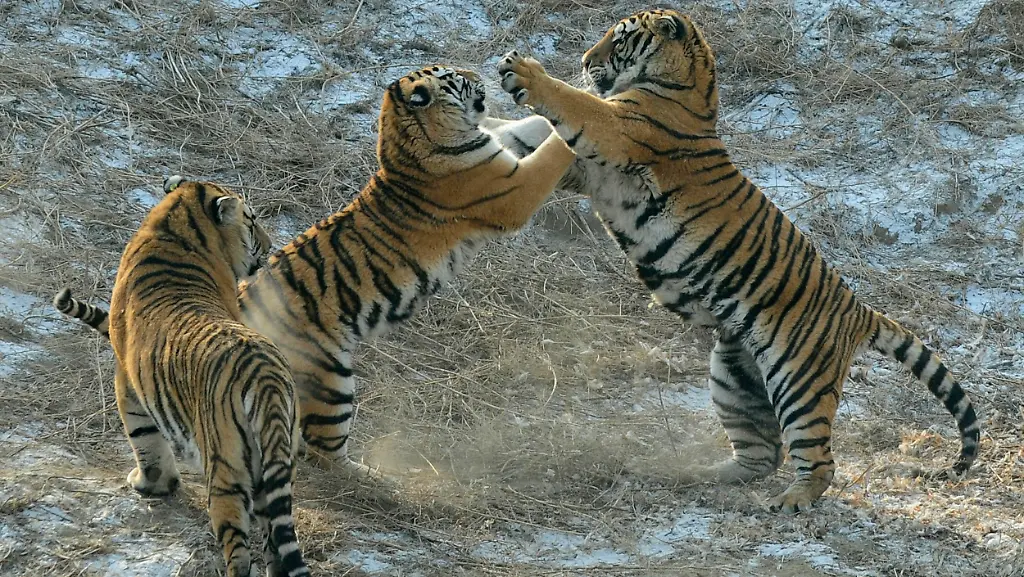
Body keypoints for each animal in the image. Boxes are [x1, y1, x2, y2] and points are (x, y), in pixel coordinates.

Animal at [55, 176, 310, 577]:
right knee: (276, 543)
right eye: (252, 222)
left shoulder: (127, 382)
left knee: (238, 548)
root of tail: (266, 378)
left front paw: (151, 484)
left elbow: (144, 440)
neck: (177, 225)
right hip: (277, 465)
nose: (271, 248)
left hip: (226, 472)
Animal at [58, 66, 576, 480]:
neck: (409, 141)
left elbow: (528, 128)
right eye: (454, 77)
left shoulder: (499, 151)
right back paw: (379, 478)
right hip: (330, 384)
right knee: (323, 452)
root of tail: (238, 305)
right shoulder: (511, 188)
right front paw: (585, 107)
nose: (479, 75)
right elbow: (553, 151)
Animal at [485, 8, 981, 512]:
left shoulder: (616, 128)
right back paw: (703, 474)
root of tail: (860, 311)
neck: (686, 88)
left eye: (619, 39)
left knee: (818, 460)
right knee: (761, 454)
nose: (586, 60)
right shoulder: (584, 168)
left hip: (798, 381)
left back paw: (791, 500)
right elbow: (527, 136)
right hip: (733, 376)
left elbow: (574, 103)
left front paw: (525, 73)